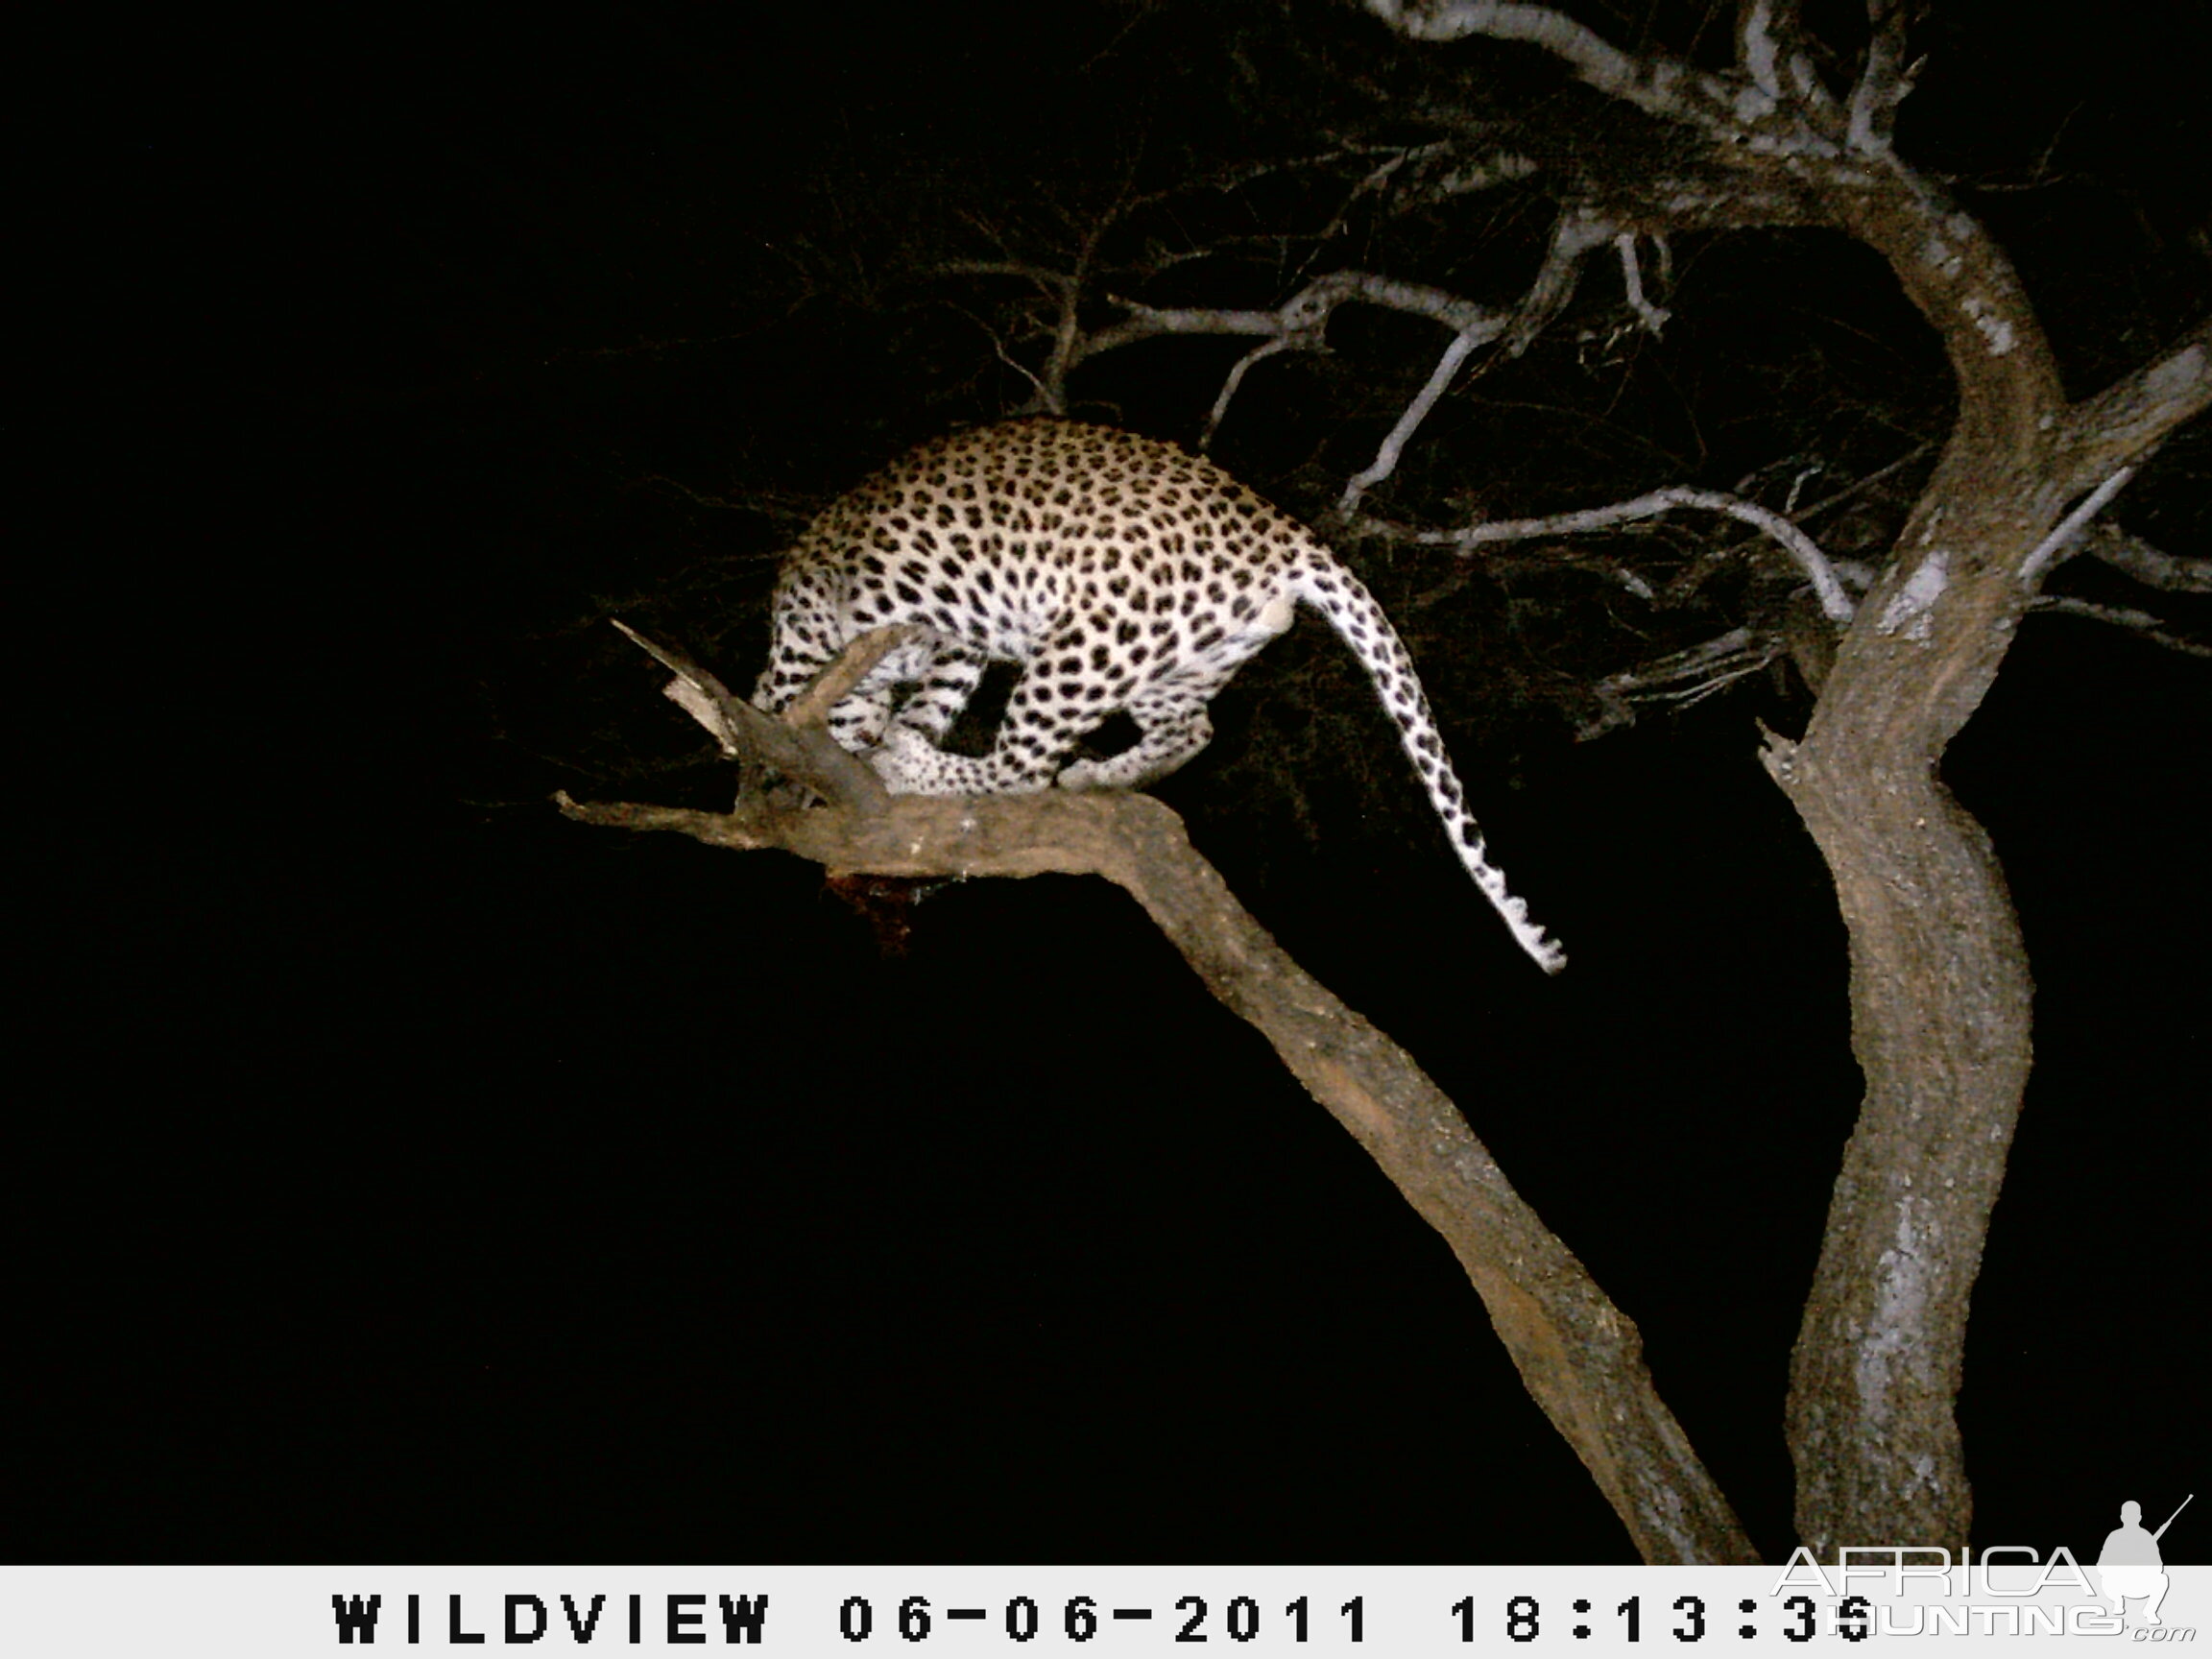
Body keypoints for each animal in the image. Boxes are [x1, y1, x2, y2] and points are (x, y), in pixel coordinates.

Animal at [752, 418, 1566, 973]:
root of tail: (1282, 533)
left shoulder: (837, 635)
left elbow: (795, 704)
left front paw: (818, 763)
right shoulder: (948, 642)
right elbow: (924, 694)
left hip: (1087, 638)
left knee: (1022, 766)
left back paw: (922, 767)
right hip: (1169, 659)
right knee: (1192, 730)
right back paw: (1100, 775)